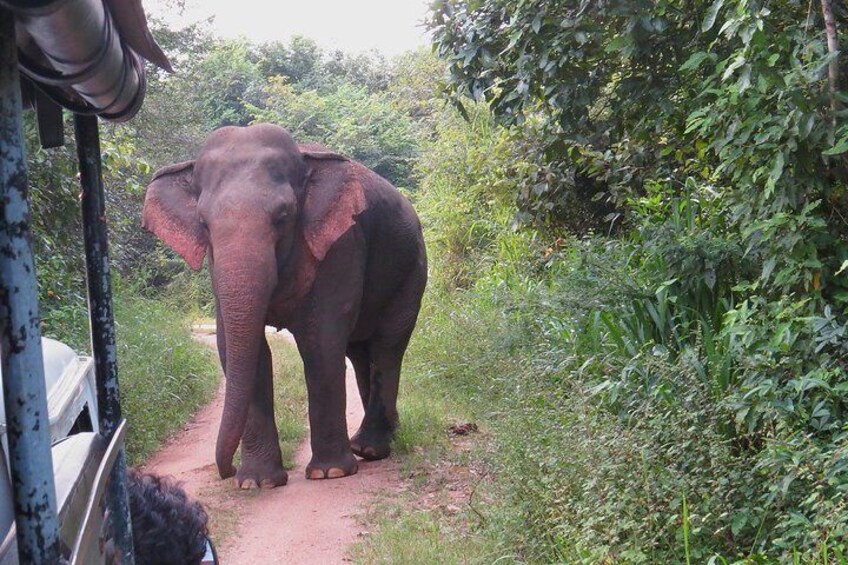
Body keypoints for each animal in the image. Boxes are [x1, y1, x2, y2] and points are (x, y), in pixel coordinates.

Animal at [143, 124, 430, 490]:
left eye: (282, 217)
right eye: (204, 224)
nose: (226, 471)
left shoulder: (340, 244)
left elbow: (320, 341)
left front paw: (329, 473)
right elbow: (238, 347)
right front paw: (256, 482)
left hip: (412, 273)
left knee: (387, 346)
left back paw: (370, 448)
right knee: (359, 352)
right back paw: (375, 442)